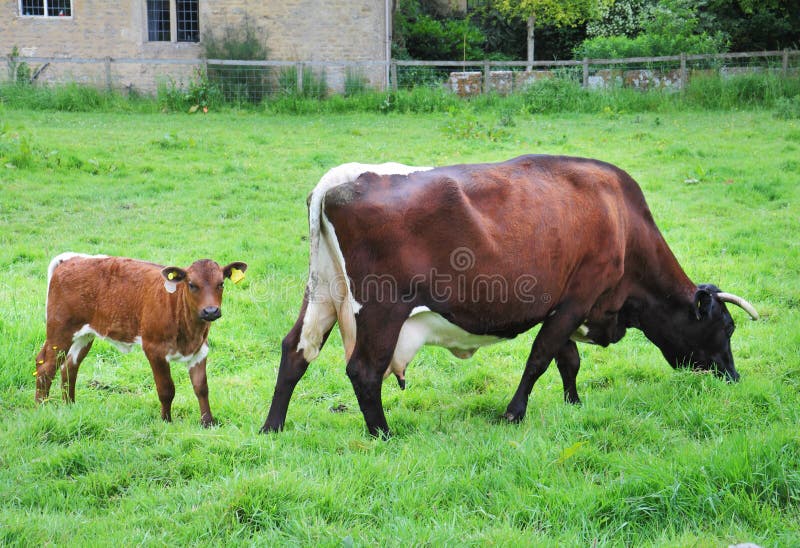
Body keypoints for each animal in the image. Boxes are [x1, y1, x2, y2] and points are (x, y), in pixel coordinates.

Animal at [36, 250, 247, 426]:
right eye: (192, 285)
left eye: (221, 284)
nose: (211, 311)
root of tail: (73, 258)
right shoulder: (154, 349)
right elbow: (166, 389)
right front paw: (166, 421)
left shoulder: (200, 350)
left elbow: (201, 387)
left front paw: (208, 423)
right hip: (60, 330)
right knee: (45, 367)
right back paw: (42, 407)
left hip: (84, 335)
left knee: (69, 367)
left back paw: (70, 406)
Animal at [260, 155, 756, 436]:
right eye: (726, 328)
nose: (733, 377)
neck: (621, 219)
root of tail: (335, 181)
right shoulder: (578, 296)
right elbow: (541, 357)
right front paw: (514, 413)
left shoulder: (564, 303)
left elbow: (567, 359)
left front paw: (574, 403)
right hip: (382, 309)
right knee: (364, 370)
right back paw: (383, 433)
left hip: (323, 293)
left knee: (295, 350)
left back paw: (272, 427)